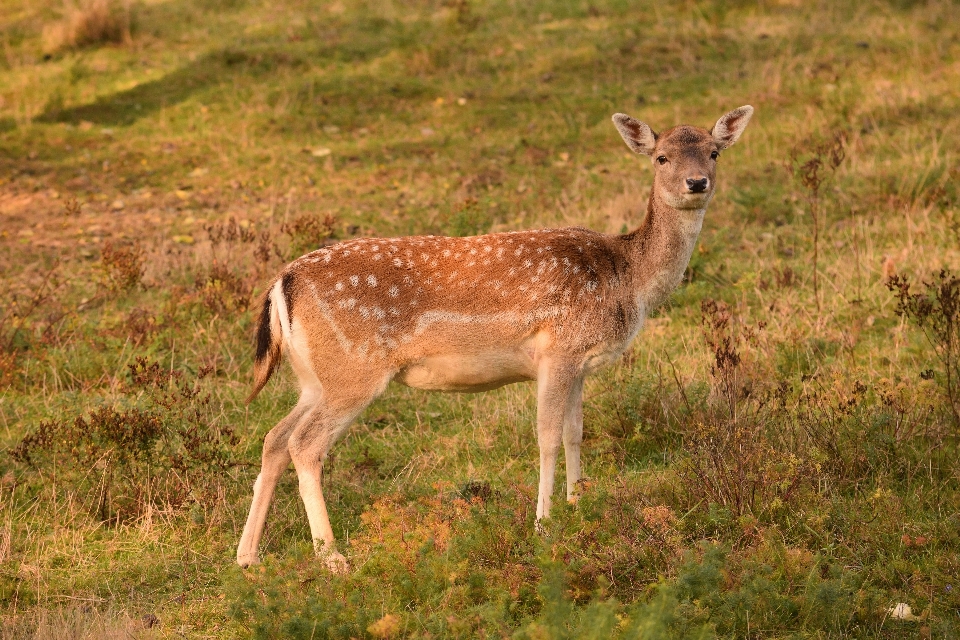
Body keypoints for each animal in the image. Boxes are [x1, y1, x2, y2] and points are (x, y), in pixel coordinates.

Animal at [236, 105, 752, 568]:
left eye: (714, 152)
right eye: (661, 157)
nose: (696, 183)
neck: (628, 278)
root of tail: (282, 282)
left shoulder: (580, 363)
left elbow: (575, 433)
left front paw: (579, 506)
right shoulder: (557, 350)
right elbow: (547, 436)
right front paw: (544, 525)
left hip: (314, 377)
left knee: (274, 438)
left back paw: (247, 556)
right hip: (353, 370)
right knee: (305, 445)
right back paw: (332, 557)